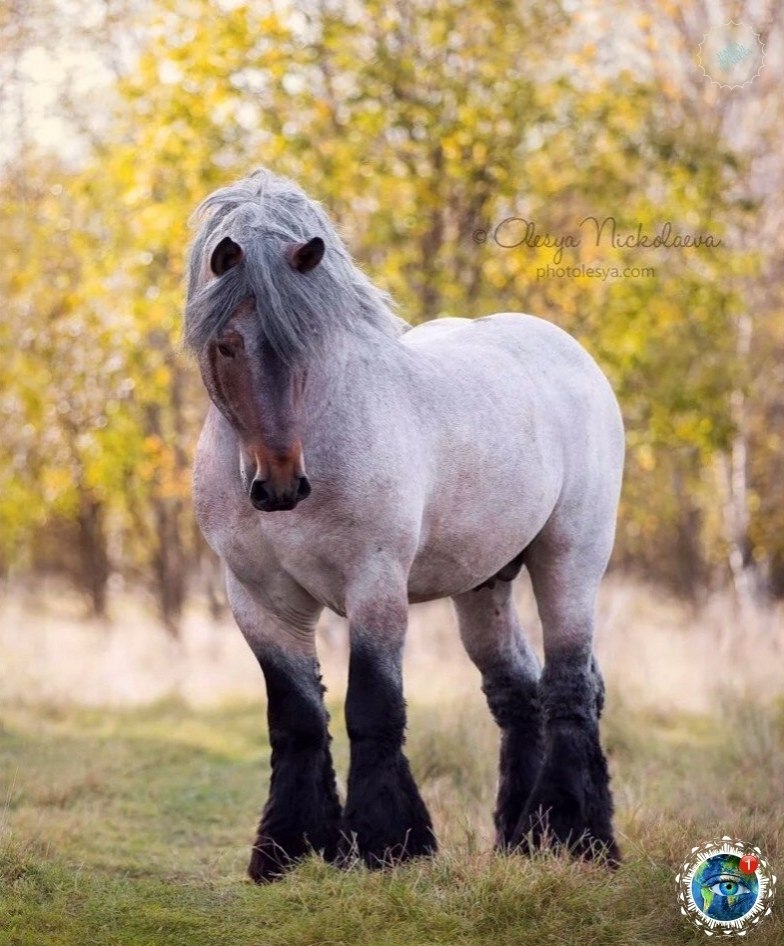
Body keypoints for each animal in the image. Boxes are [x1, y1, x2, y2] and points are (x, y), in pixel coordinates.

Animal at [185, 168, 624, 876]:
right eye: (227, 345)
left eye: (308, 341)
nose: (280, 485)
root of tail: (569, 353)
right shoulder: (259, 600)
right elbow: (297, 719)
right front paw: (288, 848)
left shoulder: (375, 585)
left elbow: (372, 709)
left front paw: (389, 843)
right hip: (485, 586)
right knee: (518, 694)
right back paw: (520, 838)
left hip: (570, 559)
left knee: (569, 689)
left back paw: (573, 837)